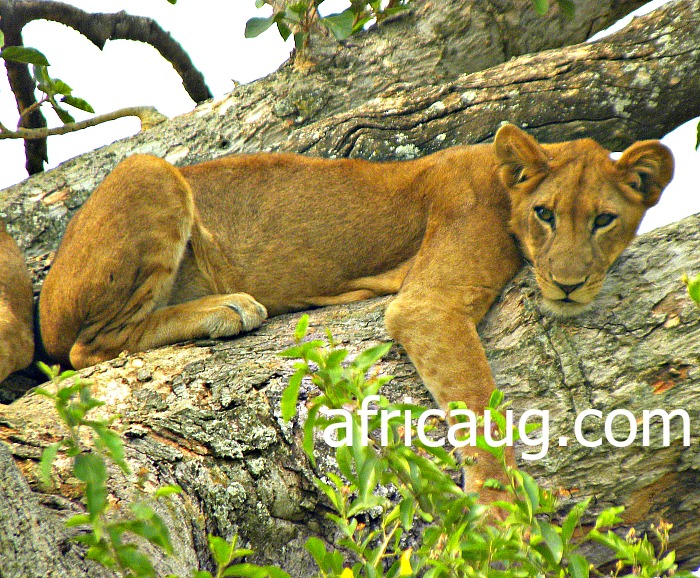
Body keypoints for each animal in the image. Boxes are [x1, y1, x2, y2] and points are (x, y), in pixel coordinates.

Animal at [37, 125, 672, 490]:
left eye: (604, 220)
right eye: (546, 214)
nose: (568, 284)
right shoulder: (426, 303)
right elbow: (478, 410)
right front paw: (503, 521)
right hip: (150, 170)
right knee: (86, 349)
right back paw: (228, 308)